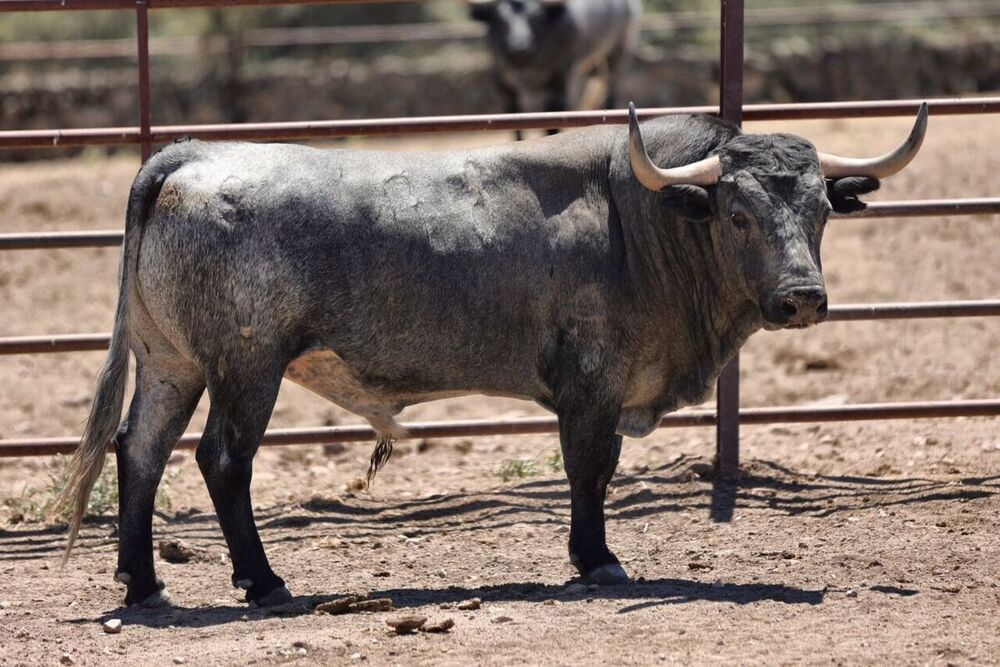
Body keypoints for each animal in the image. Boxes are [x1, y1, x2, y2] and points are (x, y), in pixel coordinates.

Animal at [58, 102, 924, 608]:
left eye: (819, 211)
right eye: (739, 213)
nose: (802, 296)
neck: (639, 219)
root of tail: (191, 155)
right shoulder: (591, 385)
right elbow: (590, 471)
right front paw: (596, 559)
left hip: (171, 362)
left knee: (140, 450)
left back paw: (143, 581)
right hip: (247, 367)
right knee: (222, 460)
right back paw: (262, 579)